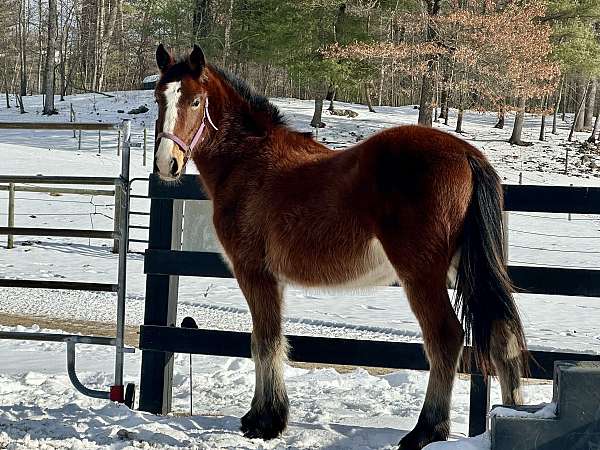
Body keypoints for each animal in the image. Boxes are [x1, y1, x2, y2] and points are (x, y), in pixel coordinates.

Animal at [152, 43, 528, 450]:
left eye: (195, 101)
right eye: (159, 97)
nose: (167, 163)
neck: (248, 162)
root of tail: (466, 154)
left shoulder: (254, 272)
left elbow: (263, 340)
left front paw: (265, 421)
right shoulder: (274, 279)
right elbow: (275, 338)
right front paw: (269, 416)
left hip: (422, 275)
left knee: (445, 338)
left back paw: (425, 431)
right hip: (466, 270)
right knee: (503, 337)